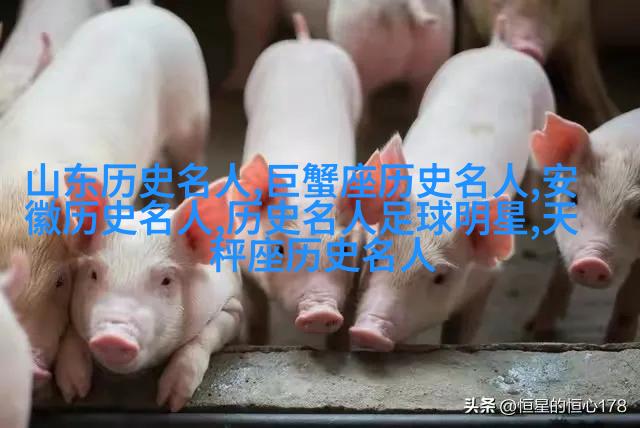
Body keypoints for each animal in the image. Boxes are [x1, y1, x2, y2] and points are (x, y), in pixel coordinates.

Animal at [54, 178, 246, 412]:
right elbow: (72, 333)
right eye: (93, 274)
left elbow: (205, 335)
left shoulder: (234, 308)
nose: (112, 337)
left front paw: (170, 403)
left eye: (166, 280)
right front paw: (72, 395)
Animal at [227, 13, 364, 347]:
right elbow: (256, 310)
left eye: (343, 250)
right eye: (280, 250)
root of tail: (303, 41)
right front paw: (257, 343)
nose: (320, 311)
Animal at [342, 16, 555, 351]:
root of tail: (500, 48)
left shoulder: (488, 276)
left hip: (546, 109)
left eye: (440, 277)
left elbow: (461, 330)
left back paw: (531, 218)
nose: (368, 331)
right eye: (375, 257)